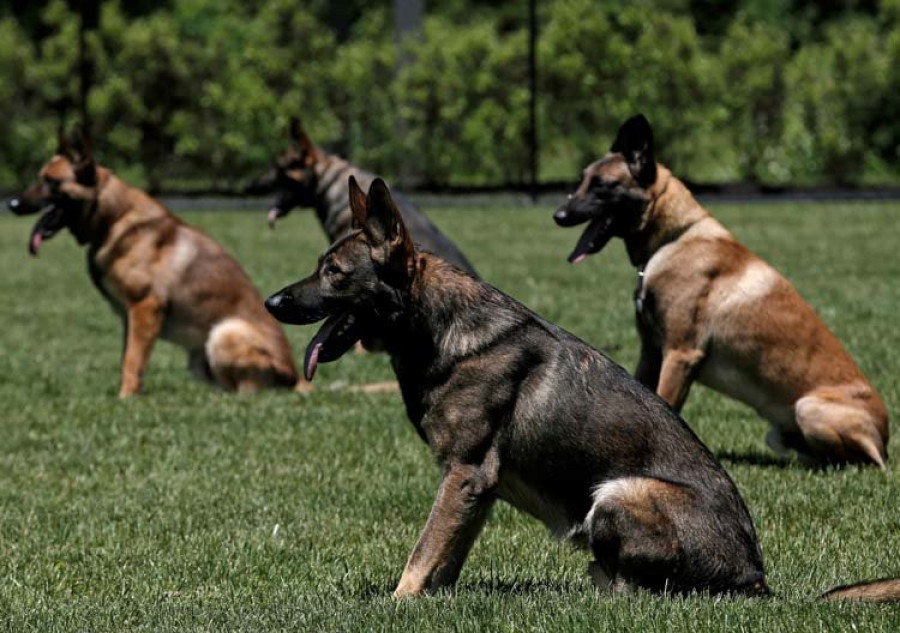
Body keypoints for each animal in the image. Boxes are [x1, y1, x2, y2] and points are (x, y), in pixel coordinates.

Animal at [7, 131, 310, 398]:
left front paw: (125, 398)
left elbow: (132, 360)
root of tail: (297, 376)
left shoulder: (145, 306)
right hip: (200, 358)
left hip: (224, 333)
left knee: (250, 392)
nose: (12, 203)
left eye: (51, 181)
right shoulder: (129, 316)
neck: (113, 218)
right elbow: (129, 358)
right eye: (40, 177)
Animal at [264, 175, 896, 600]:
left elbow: (421, 556)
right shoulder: (476, 489)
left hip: (616, 494)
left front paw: (396, 605)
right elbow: (445, 556)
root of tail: (757, 578)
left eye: (333, 273)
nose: (271, 302)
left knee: (644, 590)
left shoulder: (465, 474)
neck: (434, 326)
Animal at [552, 115, 888, 470]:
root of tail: (885, 439)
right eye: (581, 180)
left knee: (858, 460)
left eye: (602, 185)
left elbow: (666, 403)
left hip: (808, 408)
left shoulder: (680, 353)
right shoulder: (651, 352)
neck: (675, 237)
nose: (558, 216)